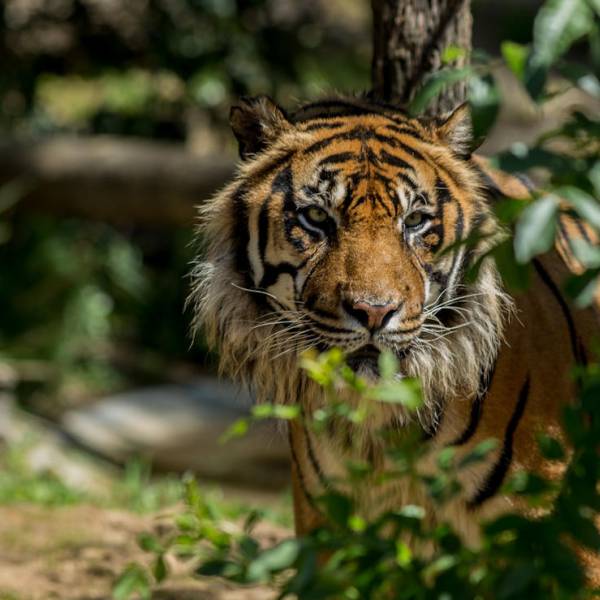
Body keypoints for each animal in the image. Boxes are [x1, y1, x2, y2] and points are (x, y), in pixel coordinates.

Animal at [191, 96, 600, 584]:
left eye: (416, 221)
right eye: (316, 217)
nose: (374, 311)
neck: (382, 427)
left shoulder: (568, 540)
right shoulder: (330, 526)